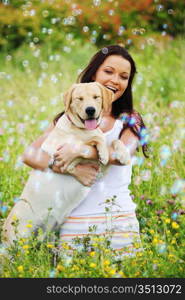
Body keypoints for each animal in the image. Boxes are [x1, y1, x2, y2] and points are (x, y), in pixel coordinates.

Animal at [2, 82, 130, 246]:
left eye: (96, 97)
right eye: (79, 99)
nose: (90, 110)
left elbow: (114, 141)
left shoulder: (100, 168)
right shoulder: (59, 148)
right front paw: (100, 149)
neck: (79, 128)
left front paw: (123, 154)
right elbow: (93, 139)